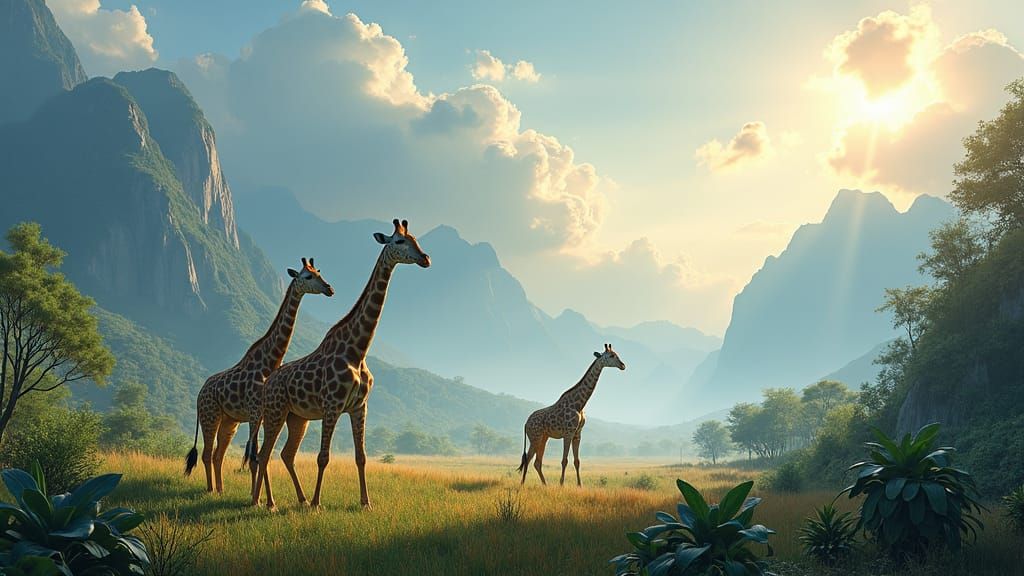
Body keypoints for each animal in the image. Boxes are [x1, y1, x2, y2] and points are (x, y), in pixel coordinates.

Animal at [184, 258, 334, 494]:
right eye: (308, 276)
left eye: (319, 272)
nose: (329, 289)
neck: (269, 364)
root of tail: (199, 392)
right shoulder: (255, 412)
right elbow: (254, 457)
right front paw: (258, 498)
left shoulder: (262, 414)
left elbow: (261, 456)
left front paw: (260, 496)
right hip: (210, 415)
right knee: (208, 454)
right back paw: (210, 490)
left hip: (230, 421)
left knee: (218, 455)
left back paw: (221, 489)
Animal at [250, 218, 430, 510]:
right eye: (399, 241)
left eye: (415, 238)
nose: (425, 258)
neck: (357, 351)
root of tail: (268, 382)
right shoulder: (332, 406)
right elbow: (323, 457)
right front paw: (316, 503)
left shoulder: (359, 407)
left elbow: (361, 457)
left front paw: (366, 503)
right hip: (275, 412)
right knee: (264, 454)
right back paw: (264, 502)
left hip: (296, 417)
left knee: (284, 453)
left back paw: (291, 499)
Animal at [517, 344, 626, 486]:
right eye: (611, 356)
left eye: (617, 354)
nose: (623, 365)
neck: (579, 405)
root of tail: (526, 423)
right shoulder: (568, 433)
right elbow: (564, 461)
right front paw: (561, 484)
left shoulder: (577, 434)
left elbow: (577, 461)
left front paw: (580, 485)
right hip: (535, 437)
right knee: (528, 458)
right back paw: (522, 484)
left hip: (543, 438)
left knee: (536, 462)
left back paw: (545, 485)